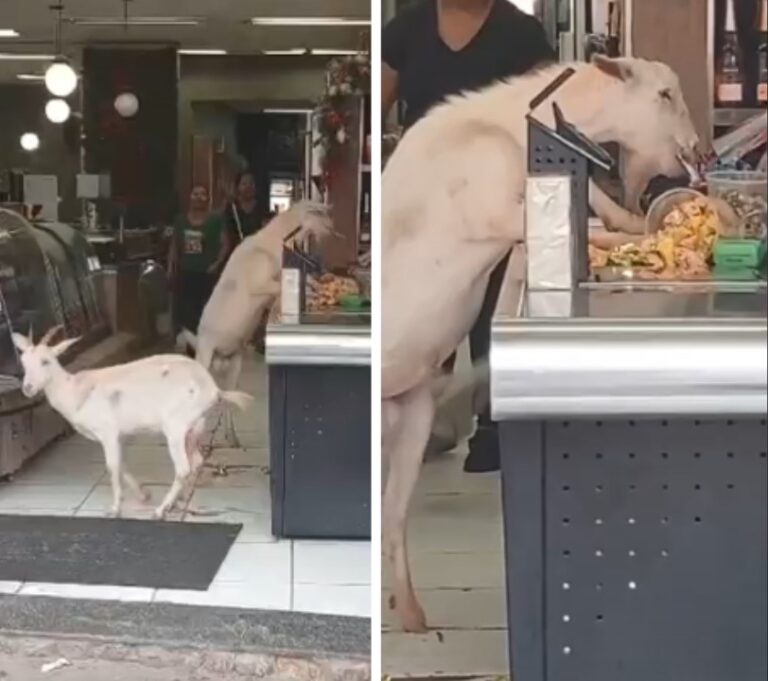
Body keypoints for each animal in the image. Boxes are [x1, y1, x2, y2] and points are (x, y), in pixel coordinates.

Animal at [11, 326, 252, 516]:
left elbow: (112, 466)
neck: (75, 391)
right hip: (195, 427)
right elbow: (122, 464)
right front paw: (144, 494)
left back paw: (161, 510)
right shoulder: (121, 435)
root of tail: (213, 389)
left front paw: (115, 508)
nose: (27, 388)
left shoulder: (107, 432)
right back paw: (181, 502)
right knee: (197, 461)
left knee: (183, 467)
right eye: (23, 362)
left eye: (46, 361)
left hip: (176, 427)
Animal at [184, 199, 336, 448]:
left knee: (227, 398)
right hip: (204, 358)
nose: (333, 229)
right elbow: (282, 286)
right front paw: (315, 288)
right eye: (321, 214)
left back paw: (233, 438)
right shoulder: (261, 283)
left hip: (235, 364)